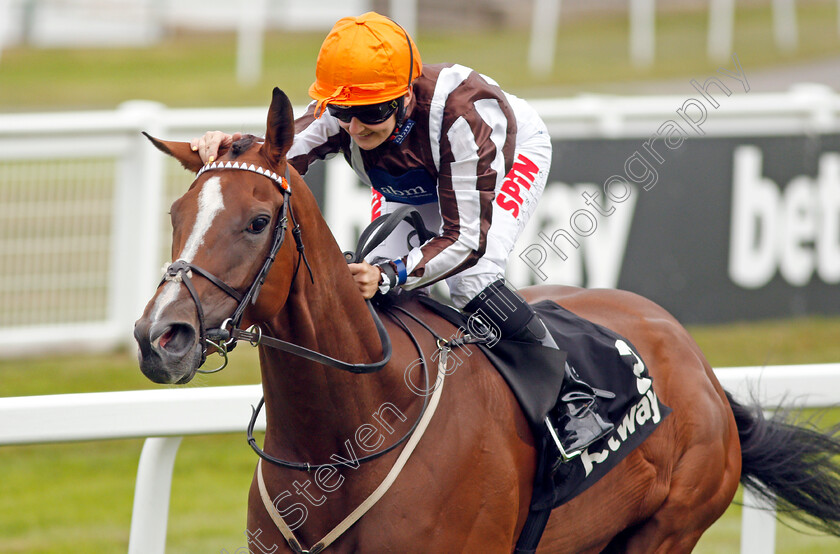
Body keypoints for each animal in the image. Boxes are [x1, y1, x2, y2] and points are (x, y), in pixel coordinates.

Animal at [135, 88, 840, 548]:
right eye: (175, 215)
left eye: (257, 222)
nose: (159, 337)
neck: (345, 435)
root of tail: (700, 367)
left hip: (670, 527)